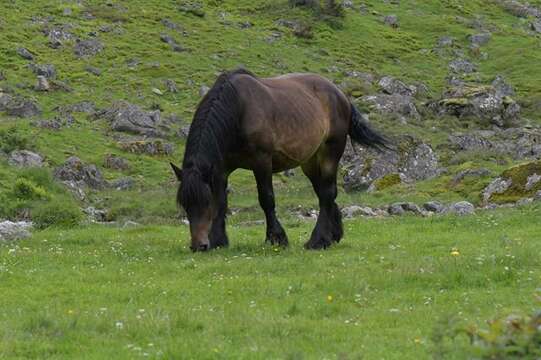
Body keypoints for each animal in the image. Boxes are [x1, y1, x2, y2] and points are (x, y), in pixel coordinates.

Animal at [171, 69, 386, 252]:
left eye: (204, 202)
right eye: (185, 204)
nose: (198, 246)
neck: (238, 110)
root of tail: (341, 95)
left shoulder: (262, 162)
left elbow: (266, 199)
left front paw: (276, 238)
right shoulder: (220, 169)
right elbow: (222, 202)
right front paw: (218, 241)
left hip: (330, 153)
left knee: (327, 193)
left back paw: (318, 241)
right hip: (310, 161)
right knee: (324, 194)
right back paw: (333, 235)